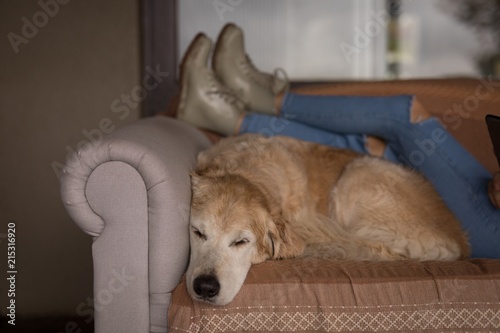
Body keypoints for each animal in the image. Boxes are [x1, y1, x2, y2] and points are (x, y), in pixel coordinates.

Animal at [186, 134, 470, 304]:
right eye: (198, 233)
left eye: (241, 242)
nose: (205, 288)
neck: (248, 171)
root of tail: (458, 240)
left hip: (357, 174)